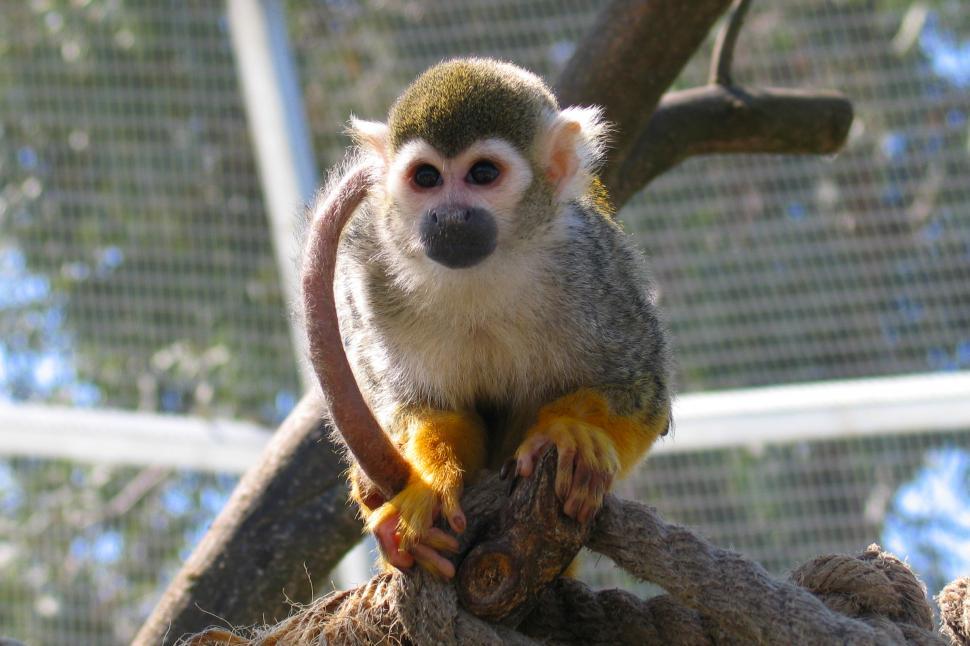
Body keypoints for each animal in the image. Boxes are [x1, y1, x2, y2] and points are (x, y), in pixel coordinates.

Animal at [302, 58, 671, 580]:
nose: (450, 217)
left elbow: (645, 397)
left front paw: (573, 432)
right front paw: (430, 478)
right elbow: (428, 407)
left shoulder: (594, 267)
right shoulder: (373, 276)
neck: (482, 275)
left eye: (482, 173)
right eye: (427, 178)